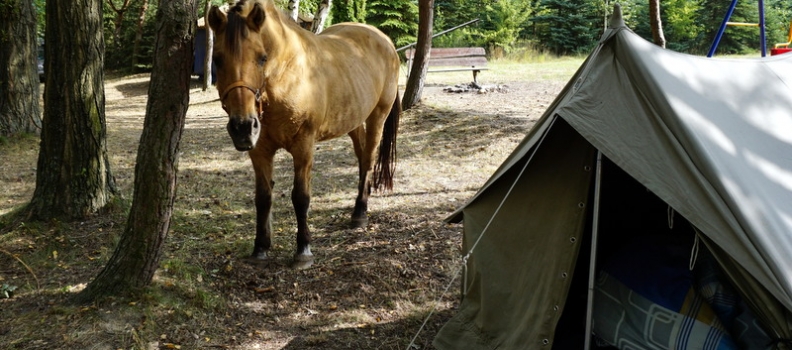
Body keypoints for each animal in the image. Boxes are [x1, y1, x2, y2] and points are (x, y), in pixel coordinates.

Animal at [207, 0, 400, 270]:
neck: (285, 76)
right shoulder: (260, 150)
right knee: (363, 159)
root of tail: (385, 40)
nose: (243, 127)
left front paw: (303, 250)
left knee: (369, 159)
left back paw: (359, 213)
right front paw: (260, 248)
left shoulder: (303, 146)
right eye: (217, 59)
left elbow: (300, 197)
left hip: (377, 117)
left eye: (262, 58)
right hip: (353, 121)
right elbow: (263, 197)